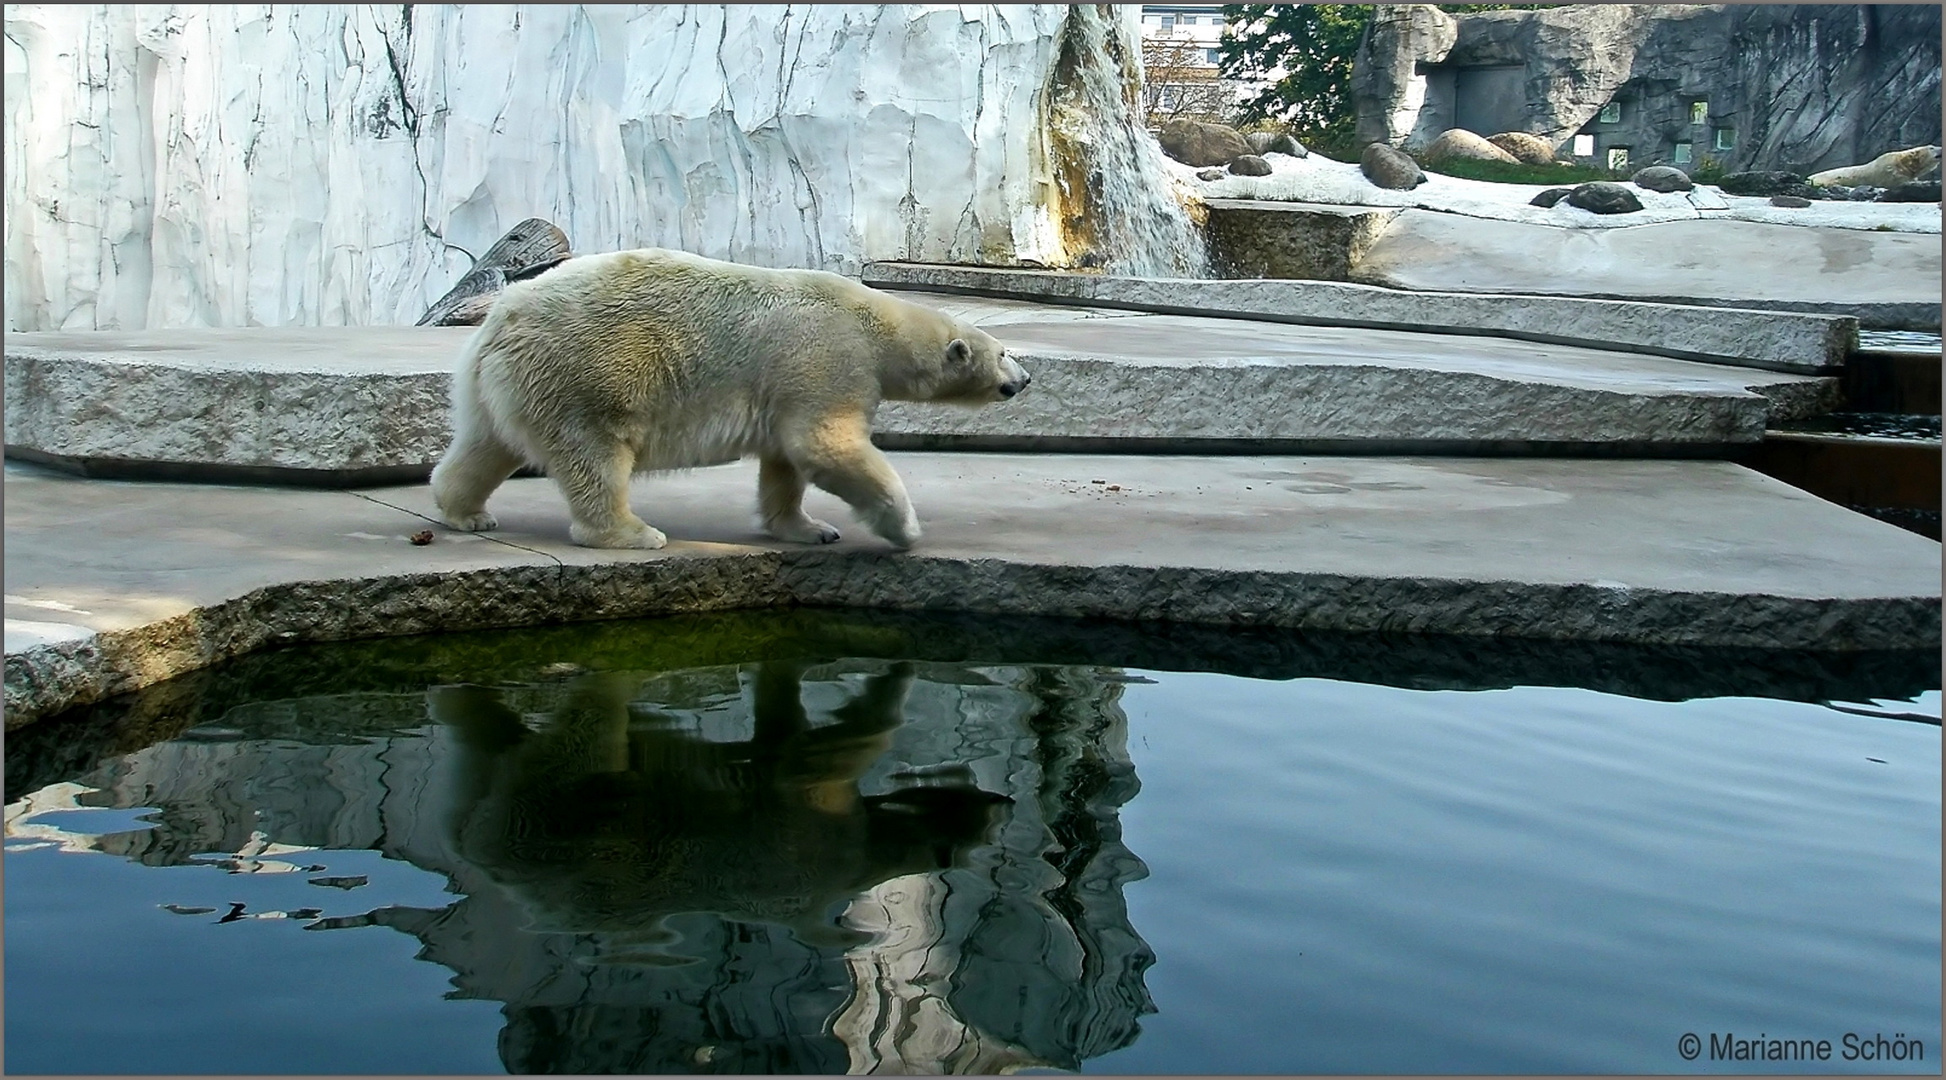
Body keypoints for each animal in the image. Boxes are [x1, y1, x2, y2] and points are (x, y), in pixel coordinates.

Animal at [430, 251, 1035, 552]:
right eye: (1004, 351)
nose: (1025, 379)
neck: (879, 325)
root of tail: (502, 317)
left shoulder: (788, 383)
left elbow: (785, 462)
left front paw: (810, 529)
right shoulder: (828, 357)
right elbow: (824, 443)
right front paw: (905, 530)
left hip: (506, 383)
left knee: (486, 444)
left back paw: (467, 511)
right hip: (586, 374)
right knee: (596, 455)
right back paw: (633, 533)